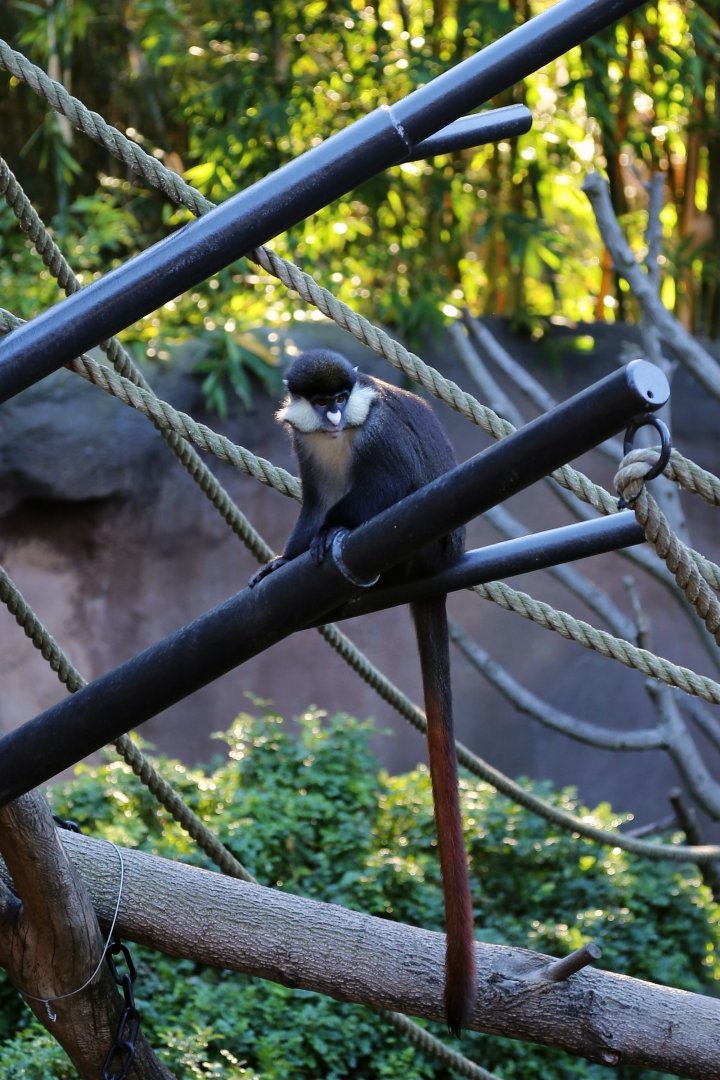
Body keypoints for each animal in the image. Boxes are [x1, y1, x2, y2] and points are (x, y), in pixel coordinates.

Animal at [249, 348, 476, 1035]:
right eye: (317, 398)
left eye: (340, 395)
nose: (329, 414)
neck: (337, 435)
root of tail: (441, 569)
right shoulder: (302, 445)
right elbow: (312, 502)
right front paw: (286, 557)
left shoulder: (378, 433)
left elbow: (392, 485)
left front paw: (335, 531)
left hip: (428, 544)